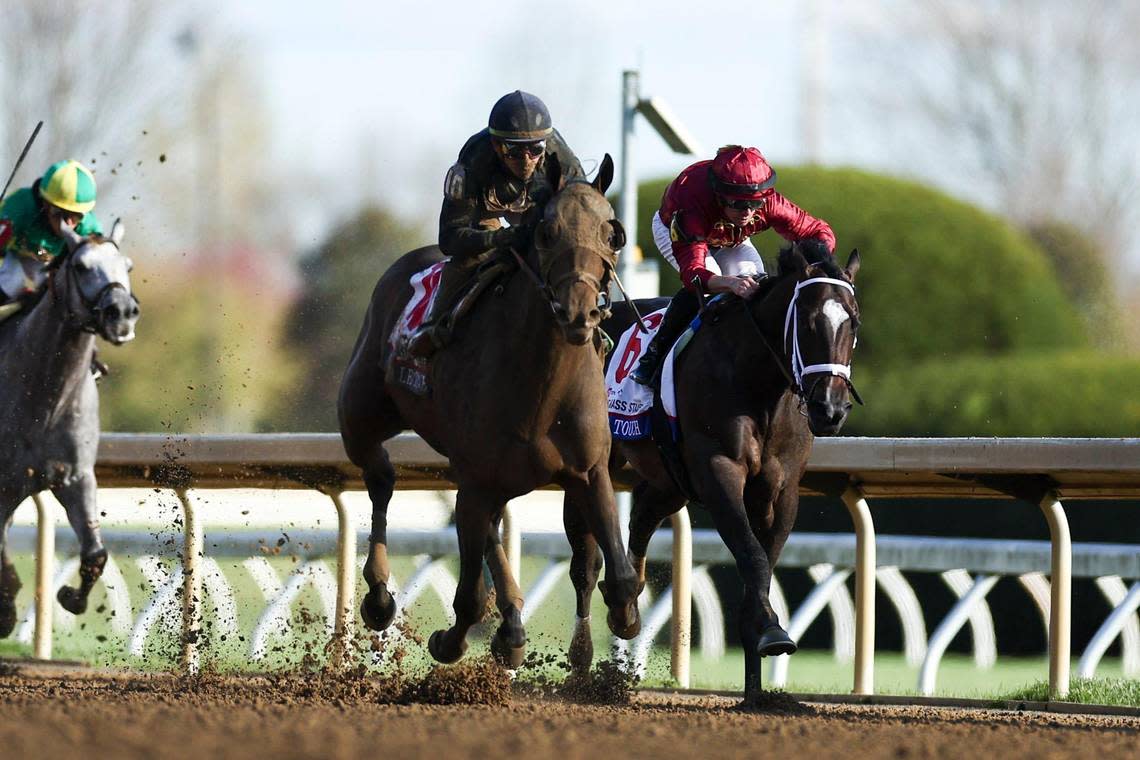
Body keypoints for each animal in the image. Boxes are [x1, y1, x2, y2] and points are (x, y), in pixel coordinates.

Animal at [0, 219, 140, 638]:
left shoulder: (75, 477)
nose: (122, 312)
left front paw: (71, 598)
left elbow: (96, 553)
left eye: (127, 265)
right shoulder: (3, 482)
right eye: (80, 266)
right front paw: (7, 612)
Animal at [335, 154, 642, 665]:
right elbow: (470, 598)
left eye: (612, 232)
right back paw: (379, 598)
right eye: (546, 232)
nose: (578, 314)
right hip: (359, 417)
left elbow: (618, 575)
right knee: (381, 478)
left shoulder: (589, 470)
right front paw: (448, 641)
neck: (542, 389)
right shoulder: (474, 481)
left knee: (493, 530)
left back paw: (513, 623)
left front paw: (616, 624)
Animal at [583, 248, 857, 701]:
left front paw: (758, 665)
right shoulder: (718, 473)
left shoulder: (781, 490)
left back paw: (626, 606)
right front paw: (772, 633)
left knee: (641, 517)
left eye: (853, 323)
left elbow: (763, 558)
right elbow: (752, 555)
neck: (757, 381)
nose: (829, 409)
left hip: (670, 479)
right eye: (807, 321)